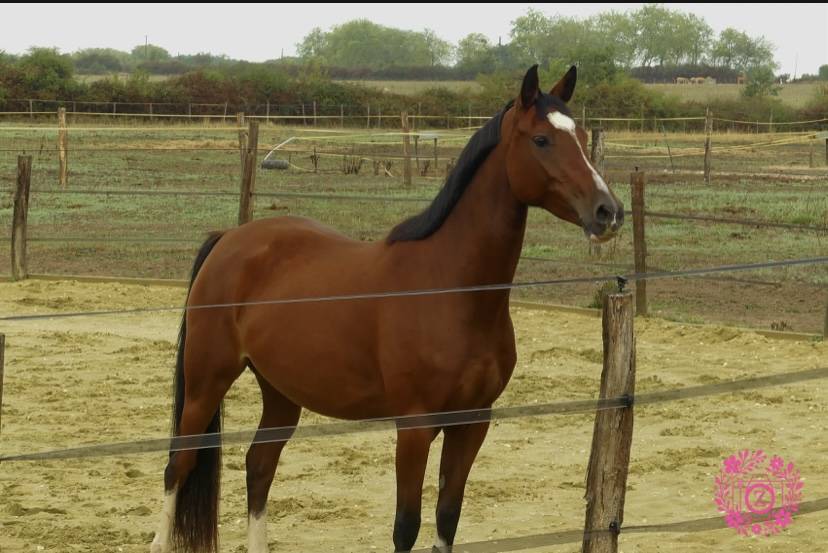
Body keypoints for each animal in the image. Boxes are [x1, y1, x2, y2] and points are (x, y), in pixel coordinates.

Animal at [149, 64, 624, 553]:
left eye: (581, 136)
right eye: (542, 140)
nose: (608, 212)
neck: (451, 288)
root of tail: (230, 238)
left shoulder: (472, 423)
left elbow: (447, 517)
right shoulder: (414, 428)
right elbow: (406, 526)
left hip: (280, 391)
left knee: (259, 465)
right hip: (207, 381)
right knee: (178, 465)